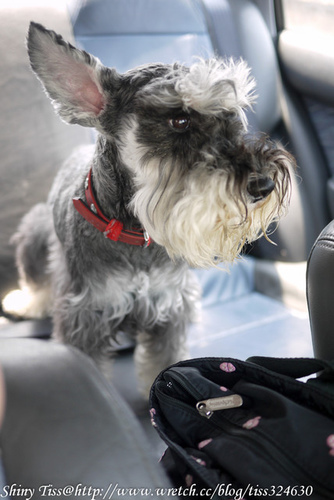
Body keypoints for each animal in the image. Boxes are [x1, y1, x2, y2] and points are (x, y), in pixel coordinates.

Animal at [5, 20, 294, 394]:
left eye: (232, 114)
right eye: (180, 120)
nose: (263, 185)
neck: (132, 233)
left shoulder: (169, 310)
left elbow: (163, 361)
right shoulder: (86, 316)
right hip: (35, 231)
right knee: (35, 276)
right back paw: (24, 301)